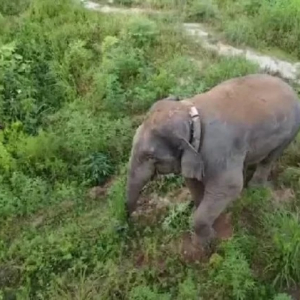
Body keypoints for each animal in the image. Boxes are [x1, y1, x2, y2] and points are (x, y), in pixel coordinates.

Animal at [125, 74, 300, 247]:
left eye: (150, 156)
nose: (130, 221)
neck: (189, 113)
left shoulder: (219, 151)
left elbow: (230, 186)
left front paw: (207, 243)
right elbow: (193, 183)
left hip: (291, 131)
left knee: (270, 158)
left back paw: (255, 187)